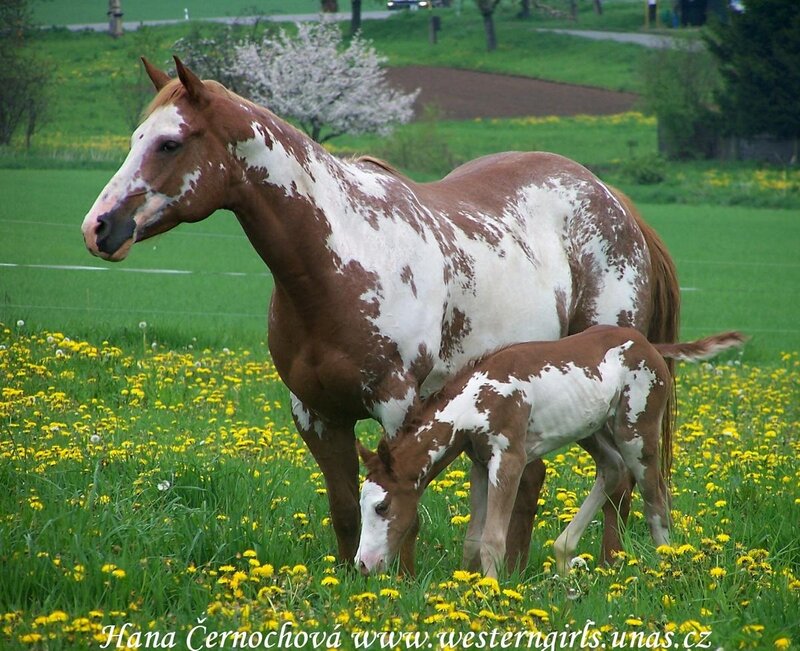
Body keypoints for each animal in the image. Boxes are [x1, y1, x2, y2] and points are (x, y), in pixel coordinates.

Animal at [80, 56, 680, 571]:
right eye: (136, 139)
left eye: (169, 142)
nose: (98, 228)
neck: (338, 264)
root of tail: (614, 200)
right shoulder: (316, 414)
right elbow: (347, 510)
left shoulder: (399, 405)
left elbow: (405, 508)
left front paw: (402, 585)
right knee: (535, 481)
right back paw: (514, 572)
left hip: (613, 393)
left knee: (624, 482)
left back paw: (608, 569)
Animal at [356, 326, 745, 579]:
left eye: (382, 506)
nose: (363, 563)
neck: (475, 400)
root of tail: (650, 345)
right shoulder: (480, 464)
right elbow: (473, 540)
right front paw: (468, 589)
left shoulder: (509, 461)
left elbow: (493, 539)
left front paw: (491, 596)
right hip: (592, 430)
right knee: (613, 469)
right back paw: (563, 555)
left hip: (636, 432)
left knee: (655, 499)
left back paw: (666, 567)